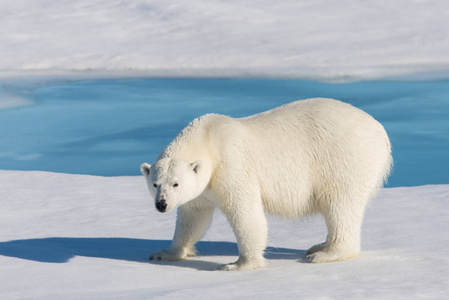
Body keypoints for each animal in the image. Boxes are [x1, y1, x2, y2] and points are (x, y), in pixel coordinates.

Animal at [139, 99, 388, 272]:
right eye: (155, 184)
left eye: (176, 183)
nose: (162, 204)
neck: (208, 138)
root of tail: (381, 132)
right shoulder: (204, 188)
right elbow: (193, 217)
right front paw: (165, 253)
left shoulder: (231, 165)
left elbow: (245, 212)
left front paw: (237, 264)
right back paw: (319, 246)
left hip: (343, 160)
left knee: (340, 205)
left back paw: (326, 253)